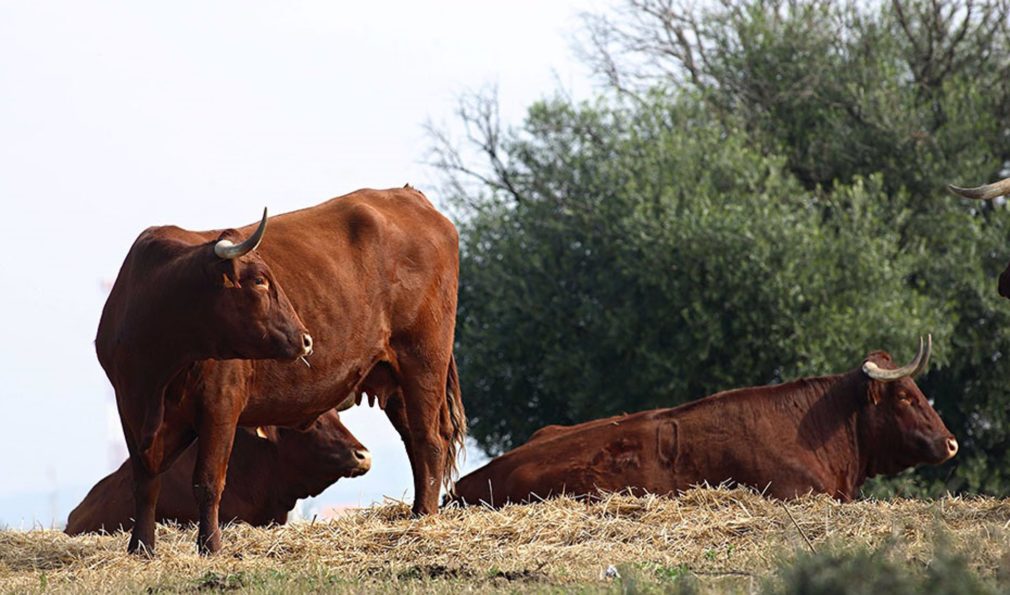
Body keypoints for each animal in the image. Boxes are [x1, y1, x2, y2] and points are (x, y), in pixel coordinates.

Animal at [97, 185, 462, 553]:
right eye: (259, 280)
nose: (306, 340)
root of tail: (407, 195)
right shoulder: (129, 408)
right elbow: (145, 483)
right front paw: (141, 548)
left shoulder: (220, 406)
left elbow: (208, 481)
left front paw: (210, 547)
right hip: (394, 378)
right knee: (415, 440)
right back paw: (416, 511)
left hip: (423, 361)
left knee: (429, 438)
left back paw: (424, 517)